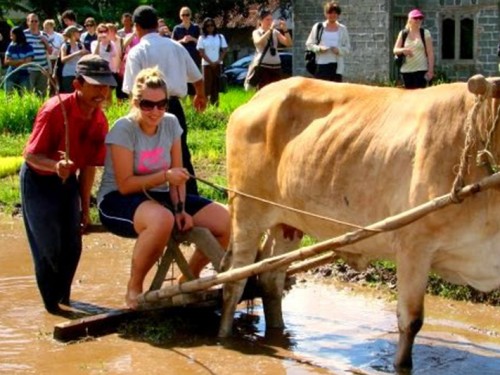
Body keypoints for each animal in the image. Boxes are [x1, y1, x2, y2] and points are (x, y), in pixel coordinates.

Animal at [220, 76, 500, 370]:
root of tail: (260, 95)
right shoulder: (414, 247)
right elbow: (410, 321)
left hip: (286, 223)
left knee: (271, 278)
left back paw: (278, 334)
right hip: (246, 214)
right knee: (233, 280)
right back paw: (225, 337)